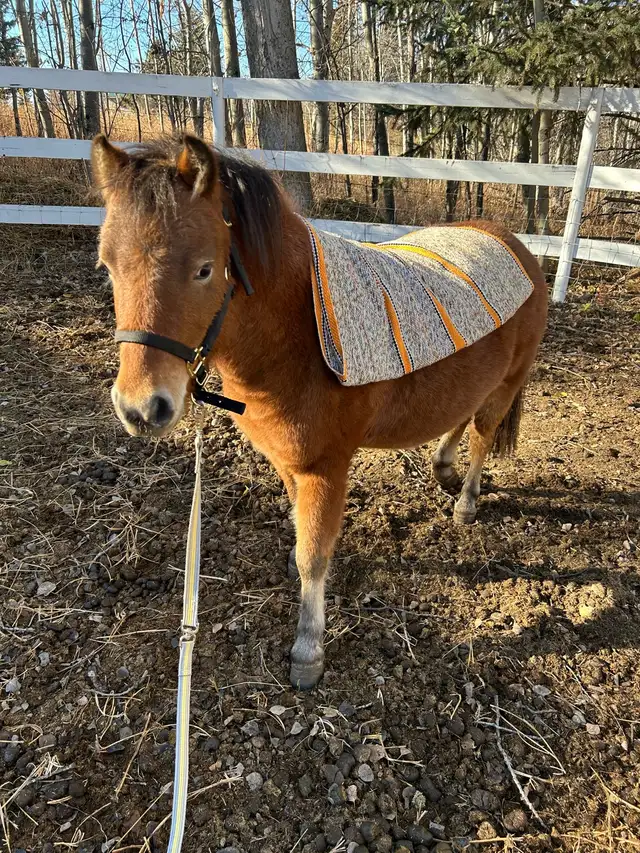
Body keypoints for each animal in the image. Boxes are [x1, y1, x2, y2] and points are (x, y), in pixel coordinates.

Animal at [91, 133, 548, 690]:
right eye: (107, 266)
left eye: (203, 269)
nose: (141, 408)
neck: (295, 335)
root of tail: (514, 244)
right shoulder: (289, 461)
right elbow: (298, 526)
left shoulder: (324, 468)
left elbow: (314, 557)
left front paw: (308, 651)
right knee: (462, 416)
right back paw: (443, 468)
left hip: (509, 380)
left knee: (483, 433)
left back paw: (465, 502)